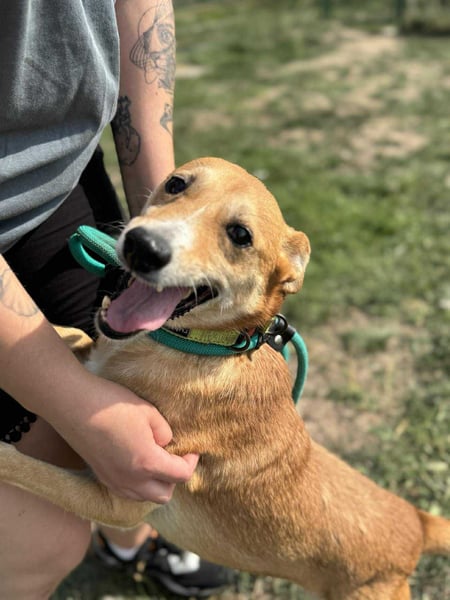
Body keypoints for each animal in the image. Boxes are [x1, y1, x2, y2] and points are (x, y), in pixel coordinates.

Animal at [0, 157, 449, 600]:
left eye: (240, 235)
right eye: (176, 184)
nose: (142, 246)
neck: (201, 347)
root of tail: (415, 522)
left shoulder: (118, 500)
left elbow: (33, 472)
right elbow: (73, 338)